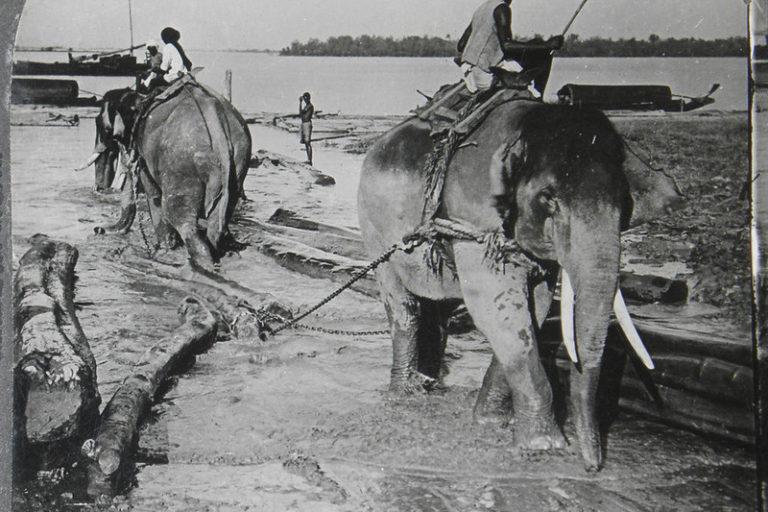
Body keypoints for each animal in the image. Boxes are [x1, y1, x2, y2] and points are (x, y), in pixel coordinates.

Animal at [89, 78, 252, 269]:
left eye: (103, 126)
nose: (98, 229)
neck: (141, 98)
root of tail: (216, 120)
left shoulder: (145, 157)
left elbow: (153, 195)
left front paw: (163, 250)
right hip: (238, 163)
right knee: (216, 226)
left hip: (181, 169)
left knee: (179, 217)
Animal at [357, 98, 681, 471]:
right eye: (548, 199)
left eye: (624, 203)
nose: (592, 466)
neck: (527, 126)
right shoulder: (474, 216)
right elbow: (496, 307)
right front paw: (544, 446)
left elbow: (536, 308)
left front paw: (491, 421)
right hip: (373, 229)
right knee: (404, 307)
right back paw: (404, 394)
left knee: (437, 312)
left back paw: (428, 384)